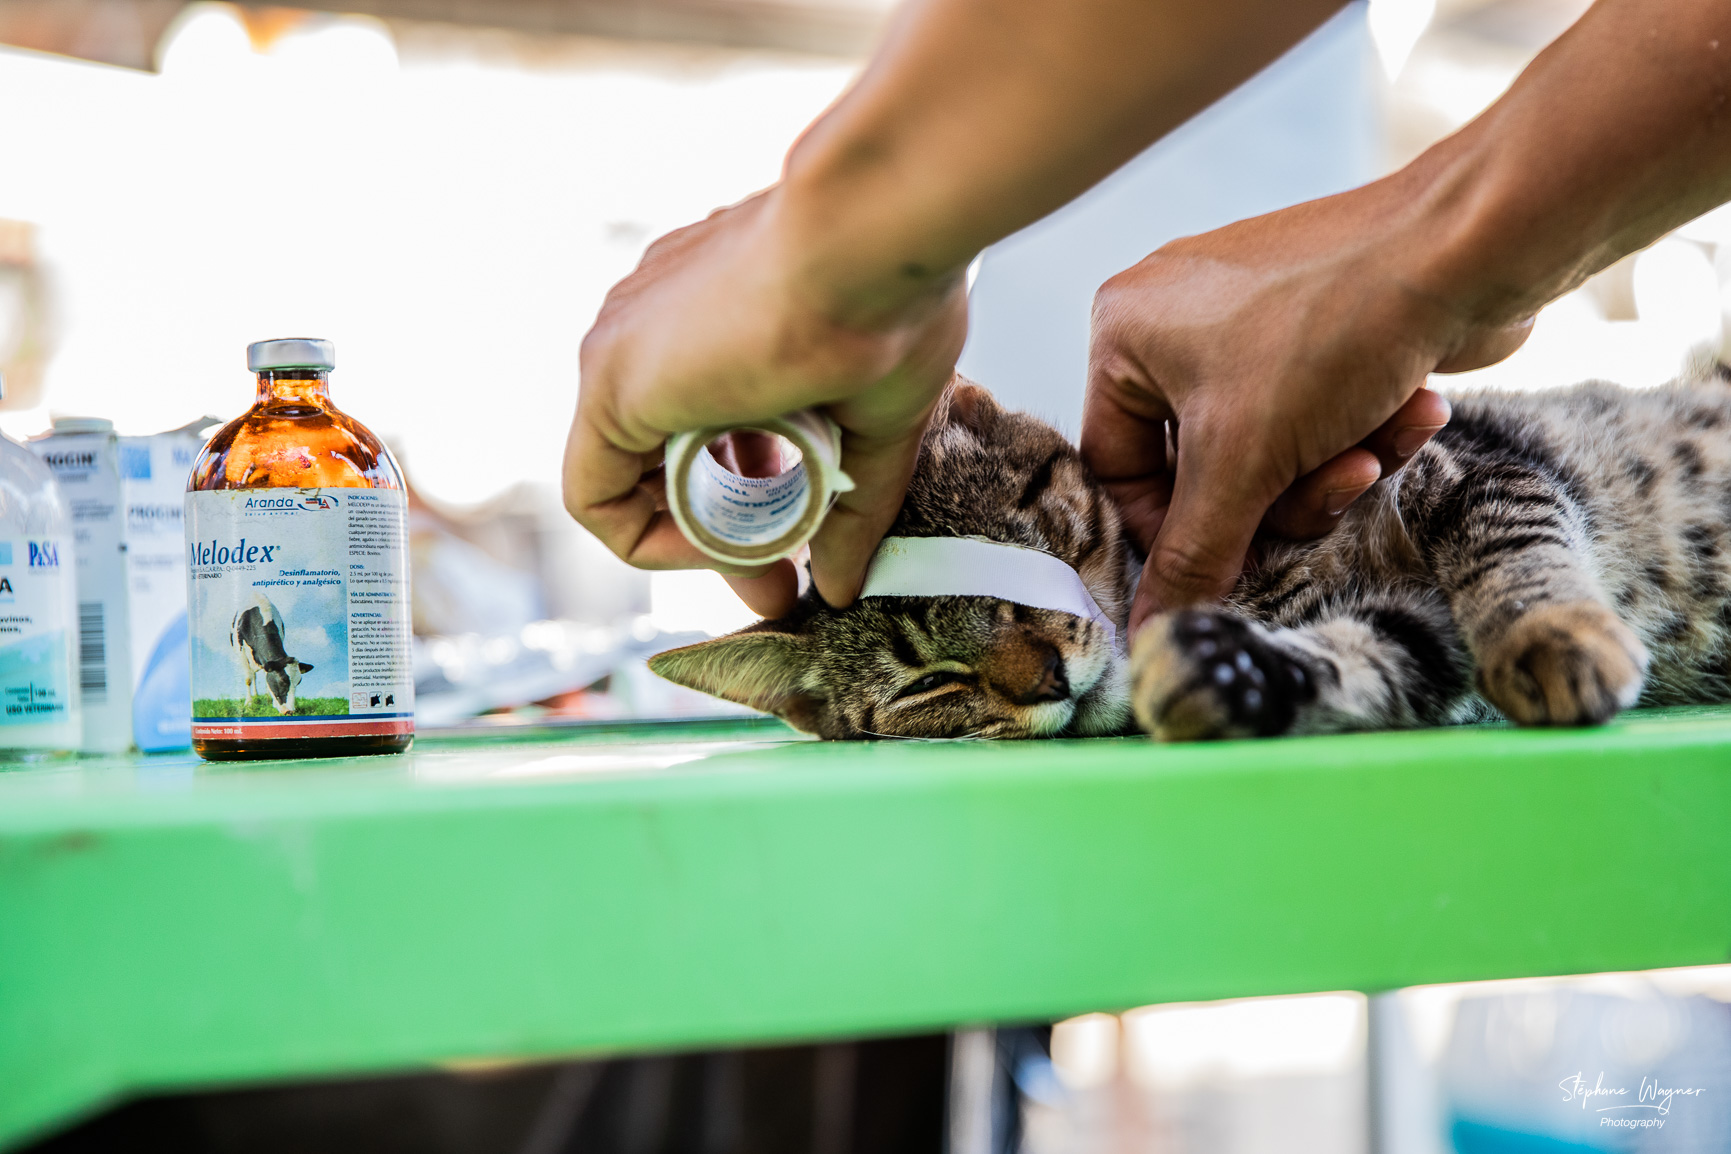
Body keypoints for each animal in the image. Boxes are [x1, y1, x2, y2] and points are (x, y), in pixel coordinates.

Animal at [650, 373, 1731, 741]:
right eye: (931, 684)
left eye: (1013, 571)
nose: (1047, 680)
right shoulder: (1421, 631)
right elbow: (1371, 657)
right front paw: (1229, 674)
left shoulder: (1467, 464)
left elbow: (1516, 550)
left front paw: (1555, 633)